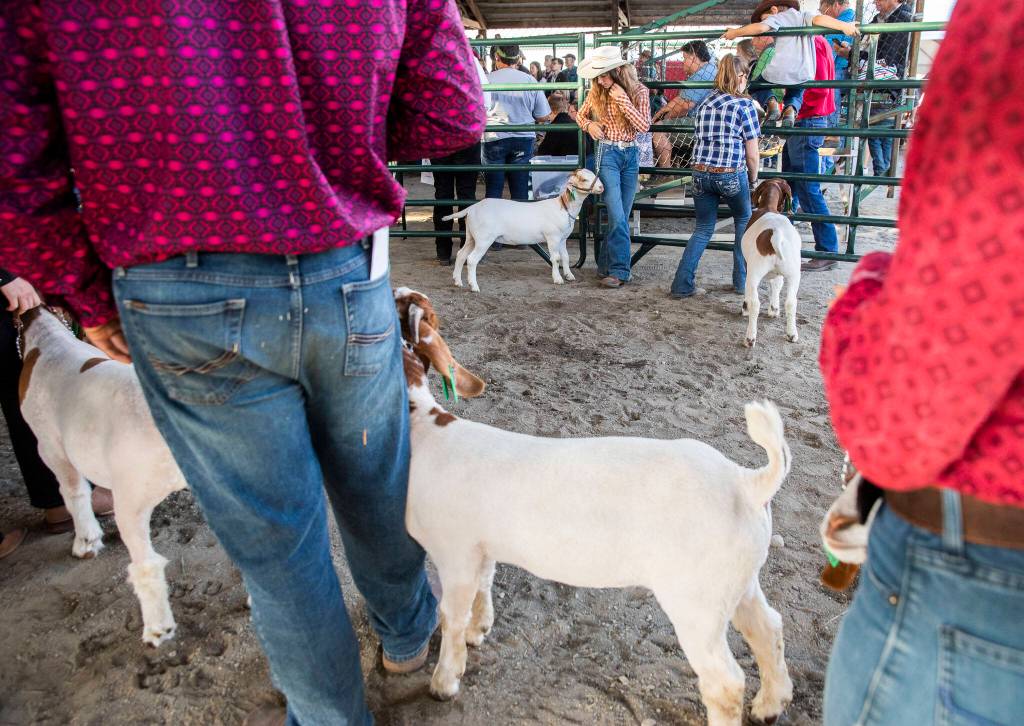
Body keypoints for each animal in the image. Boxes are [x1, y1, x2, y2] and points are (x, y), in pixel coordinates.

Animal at [18, 307, 187, 646]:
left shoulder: (51, 447)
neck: (47, 340)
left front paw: (86, 540)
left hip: (131, 497)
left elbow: (73, 492)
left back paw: (157, 626)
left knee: (146, 564)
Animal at [393, 287, 794, 726]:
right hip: (737, 579)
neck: (426, 428)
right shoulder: (481, 547)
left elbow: (451, 615)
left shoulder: (455, 551)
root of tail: (746, 482)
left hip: (696, 598)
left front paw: (445, 681)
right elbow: (484, 586)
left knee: (725, 681)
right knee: (768, 628)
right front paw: (478, 632)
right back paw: (769, 705)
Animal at [445, 168, 604, 292]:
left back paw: (458, 281)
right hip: (484, 239)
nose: (601, 187)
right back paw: (474, 286)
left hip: (471, 237)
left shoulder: (563, 238)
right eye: (584, 179)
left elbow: (565, 257)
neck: (563, 206)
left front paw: (569, 275)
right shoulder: (552, 237)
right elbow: (556, 258)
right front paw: (558, 279)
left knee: (461, 254)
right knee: (471, 259)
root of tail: (472, 207)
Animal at [741, 179, 801, 347]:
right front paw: (774, 310)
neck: (768, 207)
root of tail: (776, 234)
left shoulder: (747, 266)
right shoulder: (779, 273)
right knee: (791, 302)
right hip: (794, 273)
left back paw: (750, 338)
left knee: (755, 303)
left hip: (754, 272)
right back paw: (791, 334)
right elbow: (777, 284)